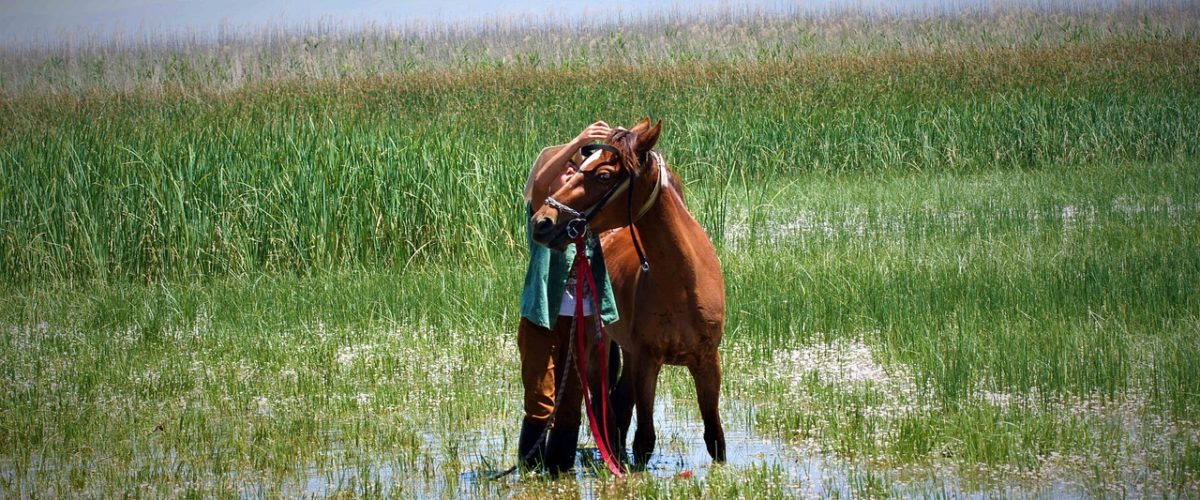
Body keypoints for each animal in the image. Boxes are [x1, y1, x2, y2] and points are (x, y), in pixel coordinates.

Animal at [528, 116, 720, 462]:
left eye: (604, 175)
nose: (542, 221)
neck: (684, 285)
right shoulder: (647, 362)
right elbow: (644, 440)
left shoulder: (708, 362)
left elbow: (715, 438)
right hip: (596, 347)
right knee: (605, 407)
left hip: (629, 354)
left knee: (618, 403)